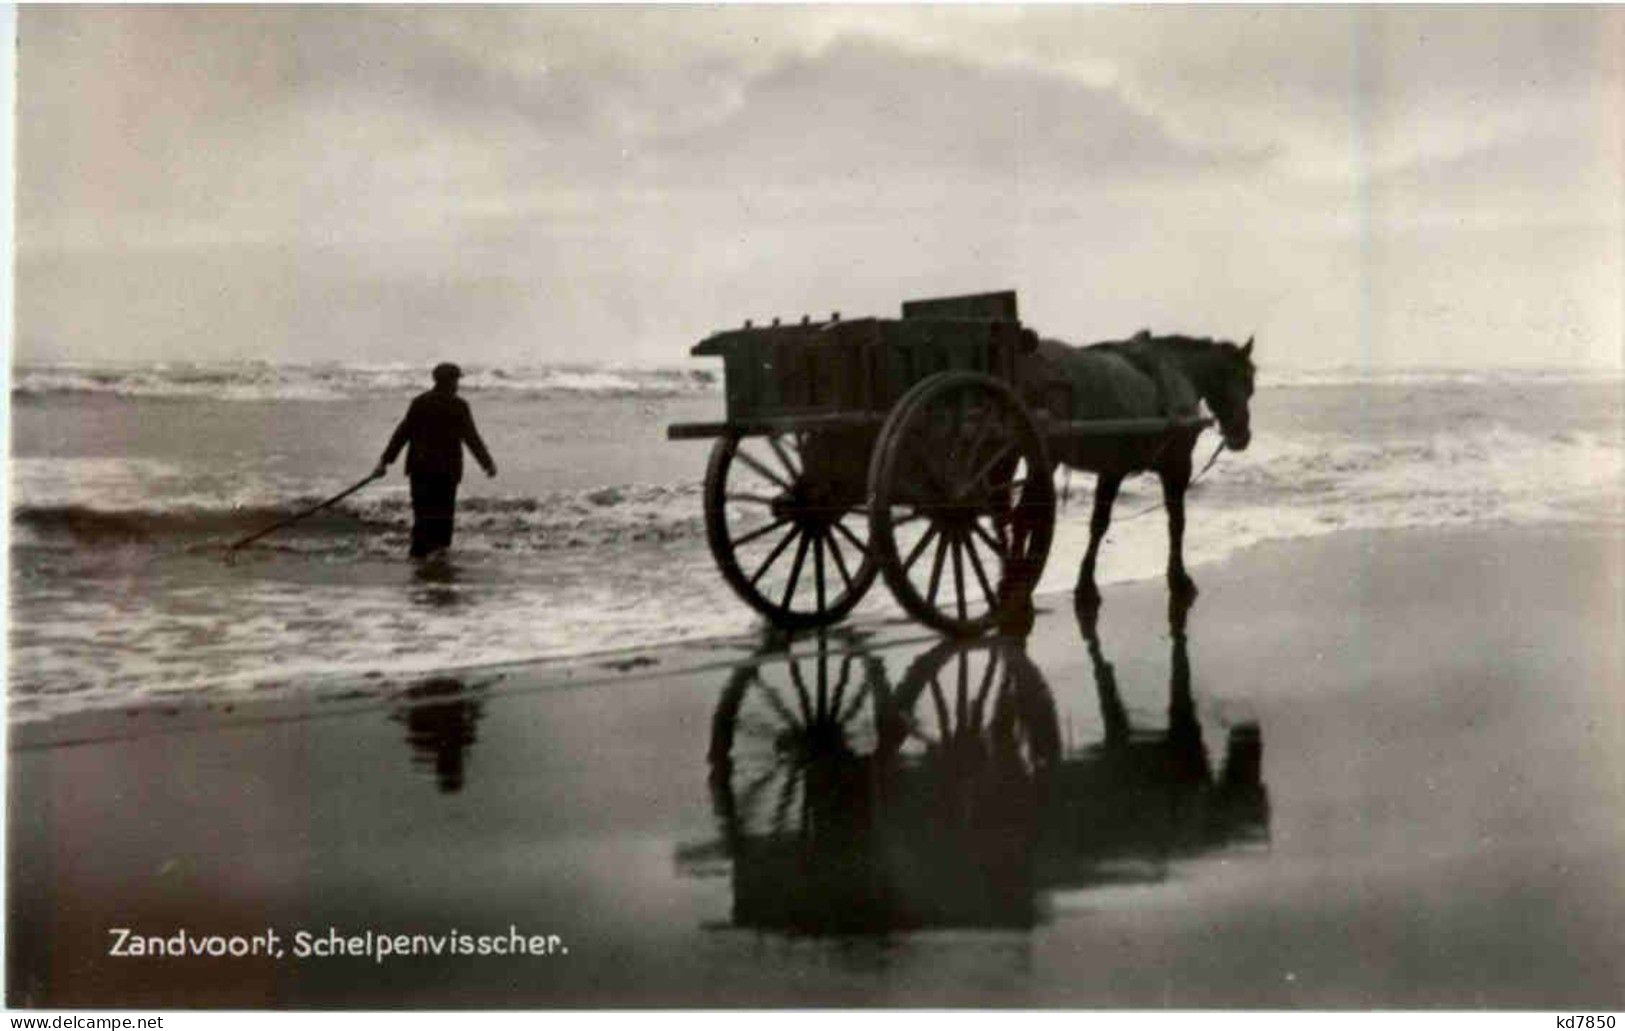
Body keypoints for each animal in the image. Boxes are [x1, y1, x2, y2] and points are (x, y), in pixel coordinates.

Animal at [1014, 328, 1254, 604]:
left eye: (1250, 387)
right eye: (1245, 381)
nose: (1242, 436)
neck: (1177, 371)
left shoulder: (1111, 470)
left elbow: (1099, 523)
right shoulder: (1174, 466)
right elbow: (1175, 522)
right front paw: (1178, 578)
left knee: (1022, 515)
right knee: (1024, 514)